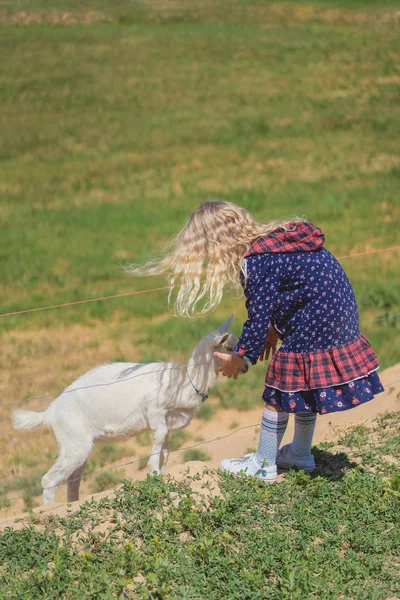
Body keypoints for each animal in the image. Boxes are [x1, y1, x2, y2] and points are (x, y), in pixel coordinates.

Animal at [12, 316, 245, 504]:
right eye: (229, 348)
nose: (244, 367)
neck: (186, 381)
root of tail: (49, 412)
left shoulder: (166, 417)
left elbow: (165, 446)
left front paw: (162, 470)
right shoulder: (155, 408)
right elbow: (160, 437)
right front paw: (154, 470)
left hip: (78, 445)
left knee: (72, 480)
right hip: (72, 441)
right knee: (49, 480)